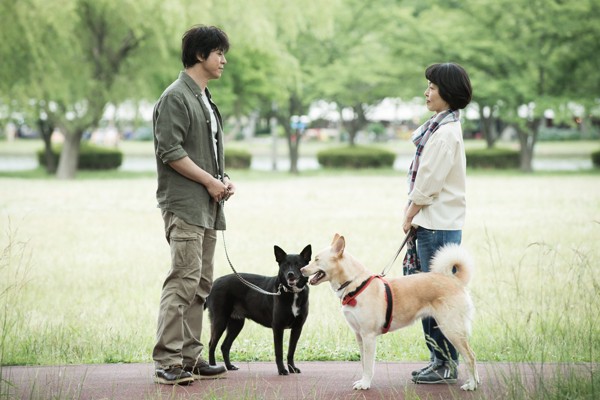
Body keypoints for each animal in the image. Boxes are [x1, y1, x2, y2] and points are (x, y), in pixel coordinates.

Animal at [206, 244, 312, 376]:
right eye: (285, 265)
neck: (292, 293)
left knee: (224, 346)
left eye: (299, 264)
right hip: (220, 320)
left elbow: (291, 351)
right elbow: (279, 352)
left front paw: (292, 368)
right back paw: (213, 366)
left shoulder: (297, 328)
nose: (290, 274)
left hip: (236, 324)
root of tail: (215, 282)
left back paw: (230, 366)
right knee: (211, 344)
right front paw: (282, 370)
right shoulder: (278, 327)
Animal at [300, 234, 478, 390]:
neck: (354, 285)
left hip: (451, 329)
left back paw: (471, 385)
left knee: (470, 357)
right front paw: (363, 381)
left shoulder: (369, 336)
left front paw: (365, 384)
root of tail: (454, 280)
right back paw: (475, 382)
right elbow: (363, 363)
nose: (301, 270)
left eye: (316, 259)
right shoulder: (359, 336)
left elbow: (368, 365)